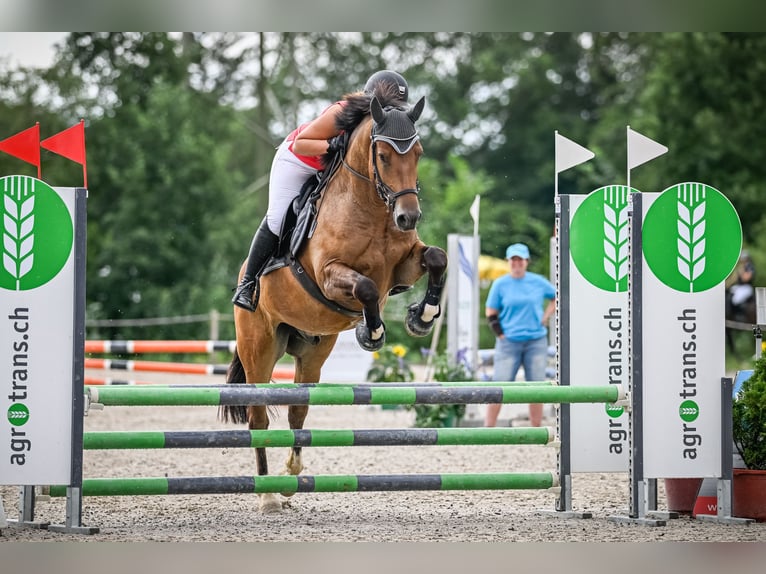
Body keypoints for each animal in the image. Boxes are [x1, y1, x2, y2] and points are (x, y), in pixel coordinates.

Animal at [219, 84, 450, 512]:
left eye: (418, 153)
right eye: (383, 155)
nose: (408, 217)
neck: (373, 208)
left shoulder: (404, 267)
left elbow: (437, 257)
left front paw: (422, 316)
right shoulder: (329, 276)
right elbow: (366, 289)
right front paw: (371, 333)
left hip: (313, 351)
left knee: (298, 411)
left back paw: (290, 476)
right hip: (258, 347)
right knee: (259, 420)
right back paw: (268, 495)